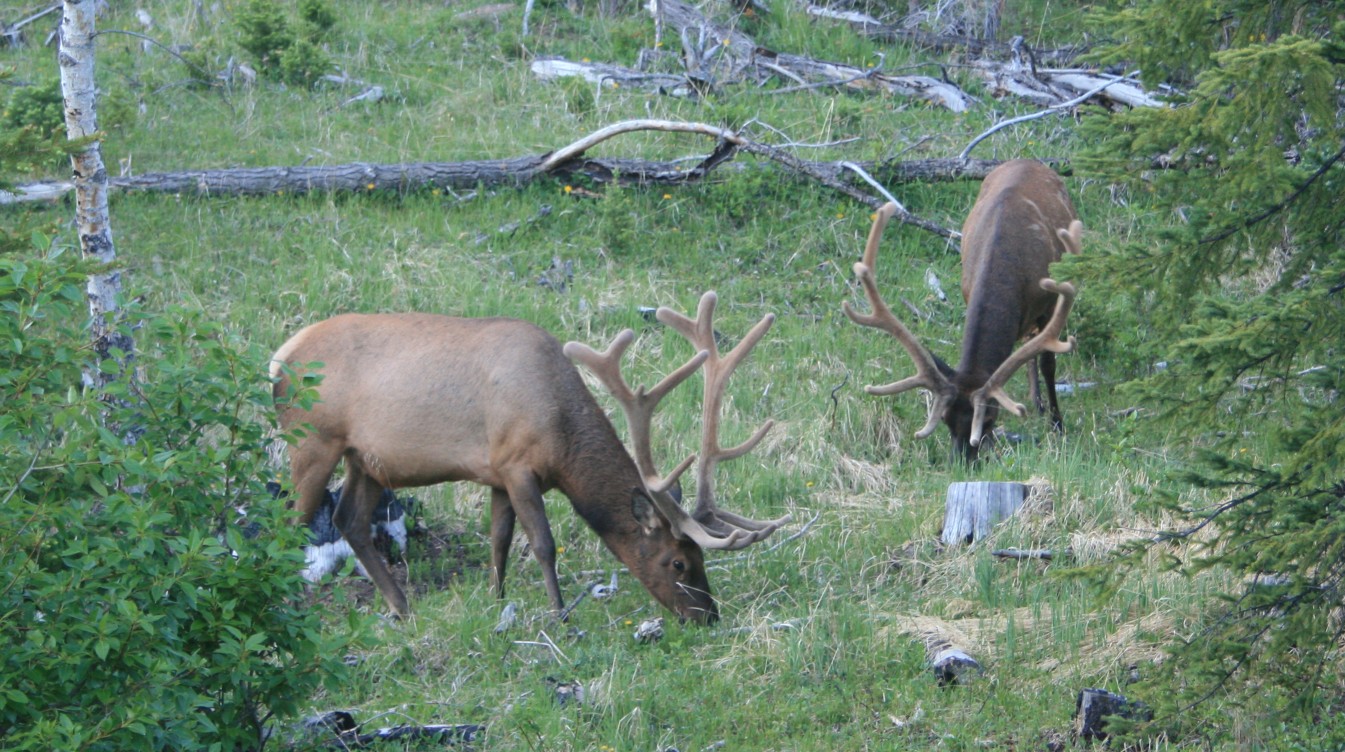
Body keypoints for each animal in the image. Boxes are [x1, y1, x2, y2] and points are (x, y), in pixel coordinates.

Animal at [269, 299, 786, 624]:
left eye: (700, 556)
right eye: (677, 562)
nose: (708, 616)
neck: (560, 432)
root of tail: (277, 359)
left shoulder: (496, 471)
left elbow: (499, 538)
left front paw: (496, 599)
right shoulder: (518, 465)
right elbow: (542, 543)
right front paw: (559, 615)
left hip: (366, 460)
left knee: (349, 520)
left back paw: (401, 607)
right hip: (311, 441)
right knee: (290, 524)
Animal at [843, 159, 1083, 462]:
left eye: (989, 419)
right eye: (945, 418)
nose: (962, 462)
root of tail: (1027, 160)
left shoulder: (1050, 302)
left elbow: (1048, 363)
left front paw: (1057, 424)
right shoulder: (968, 291)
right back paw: (1034, 400)